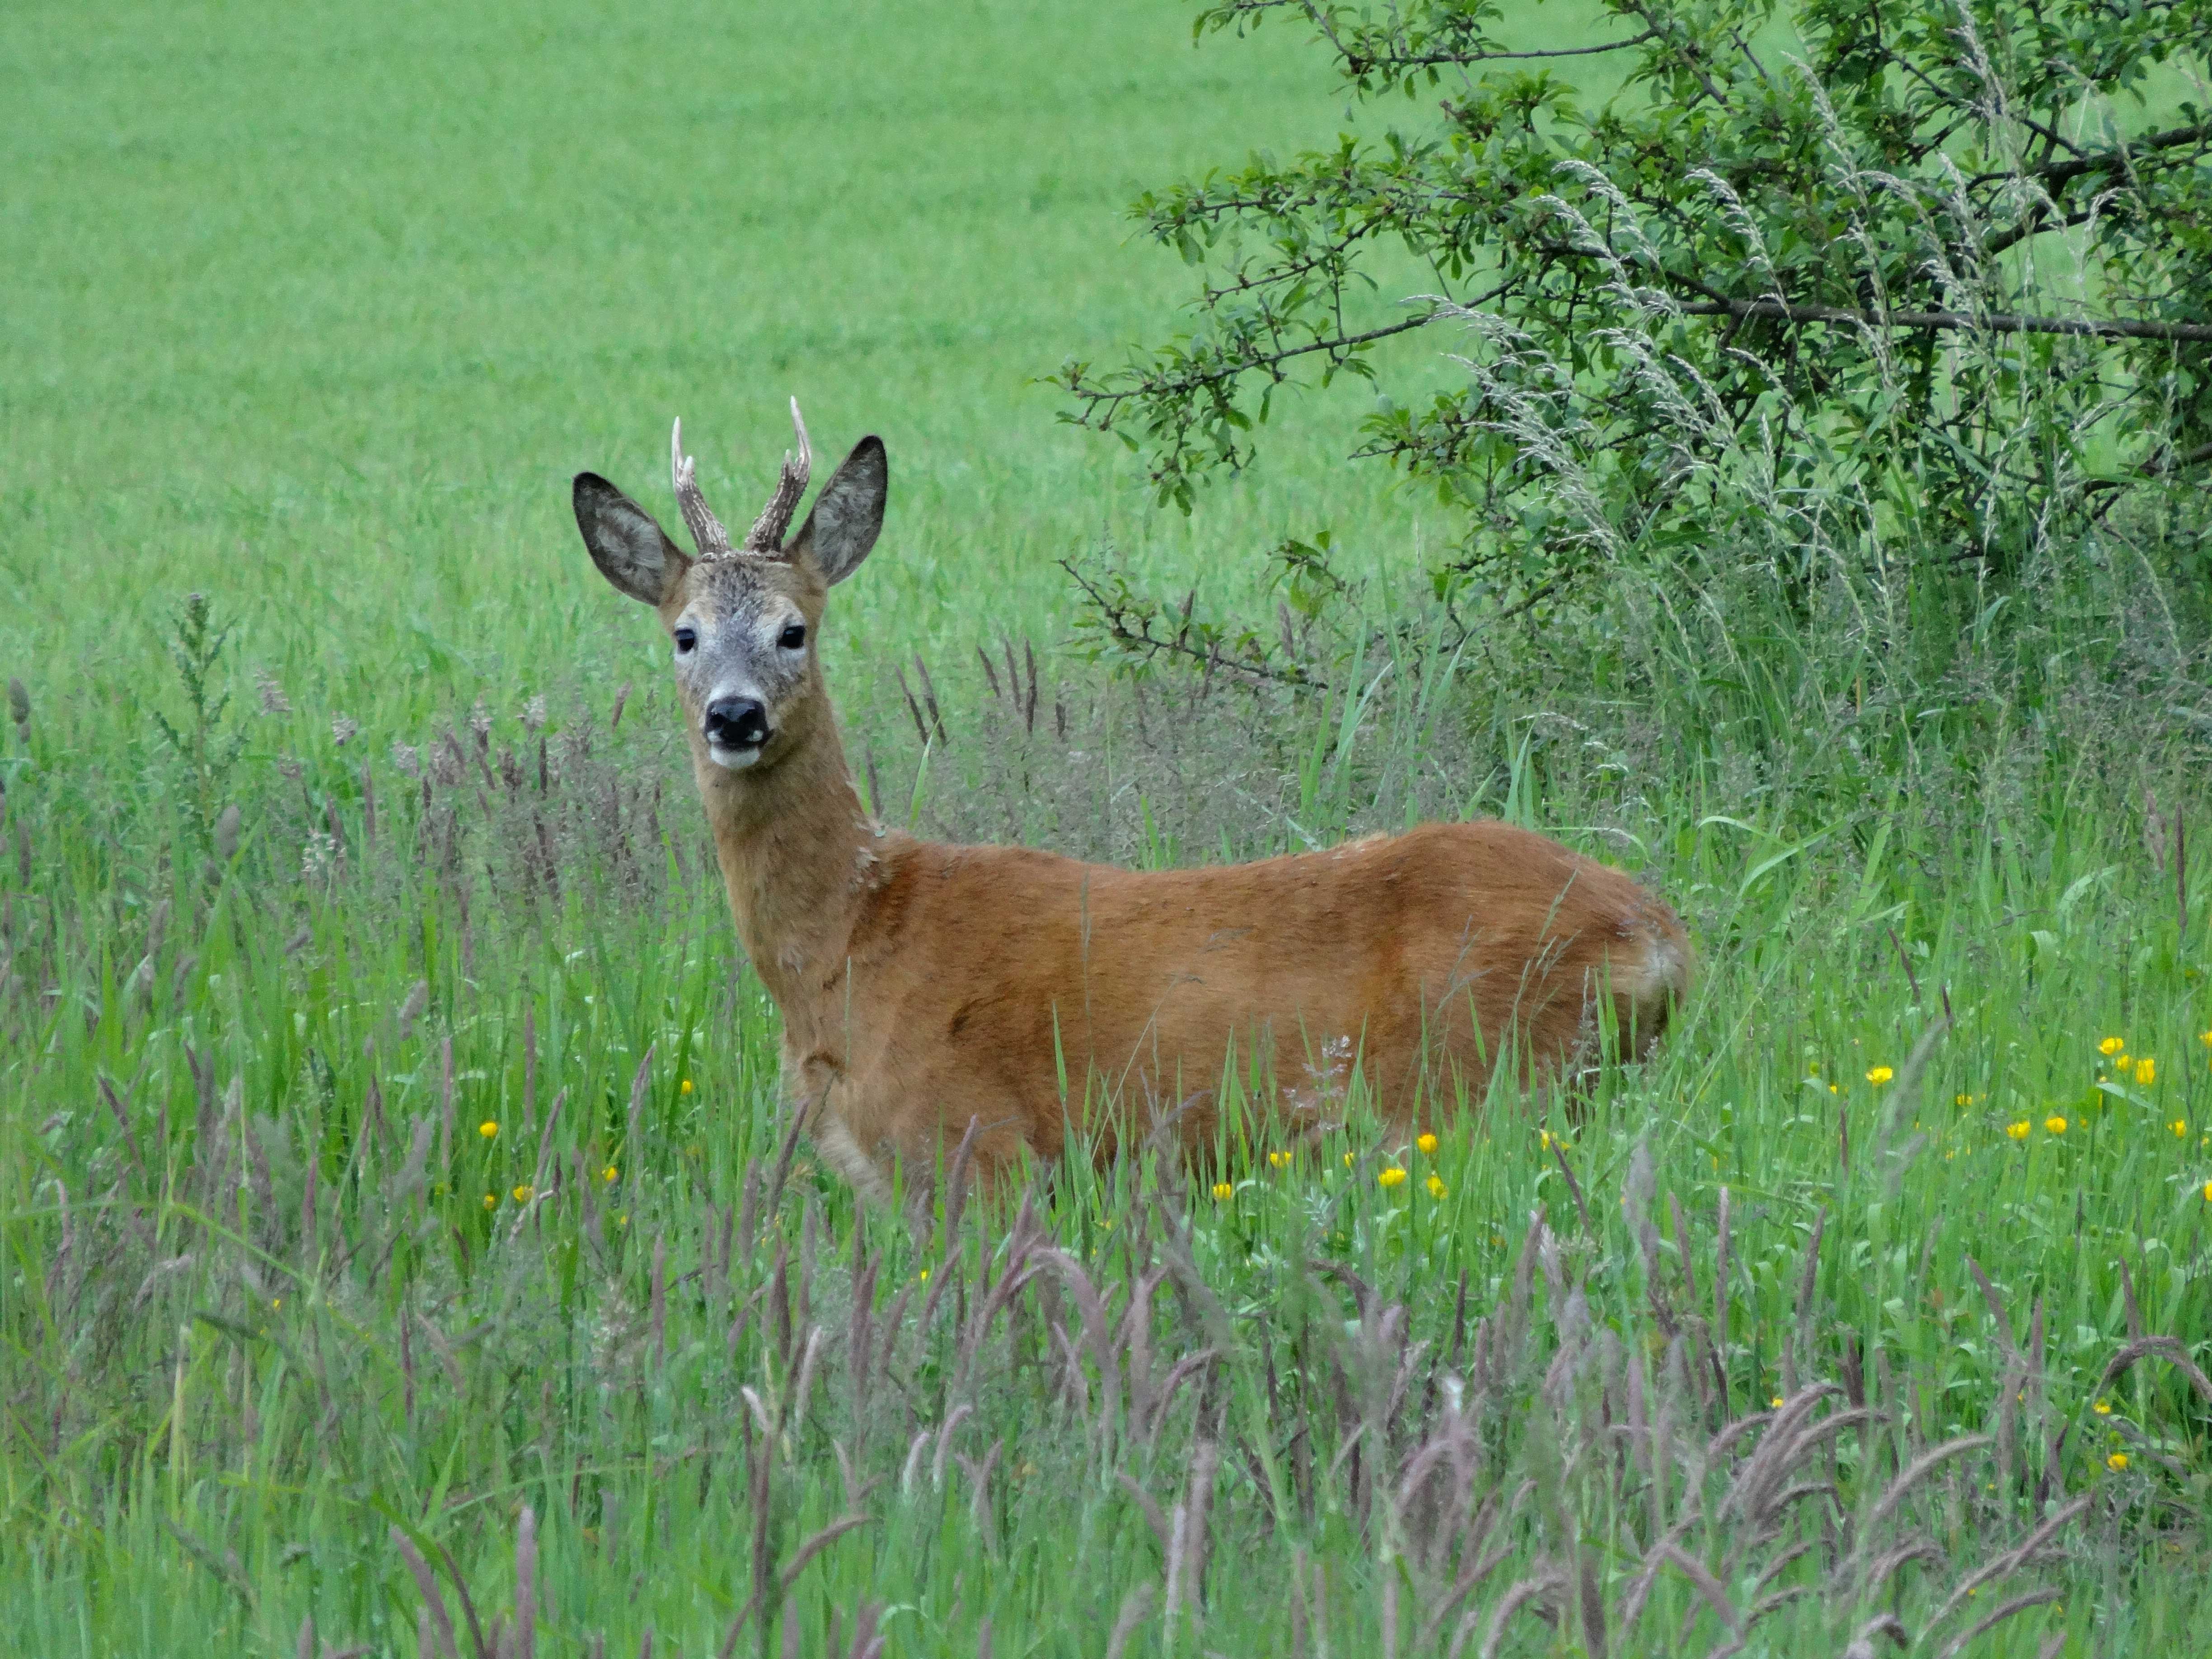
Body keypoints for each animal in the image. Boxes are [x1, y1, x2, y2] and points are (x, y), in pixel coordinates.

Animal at [575, 407, 1690, 1203]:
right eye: (684, 633)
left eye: (793, 629)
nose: (734, 715)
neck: (848, 947)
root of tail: (1662, 938)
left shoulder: (979, 1149)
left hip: (1470, 1091)